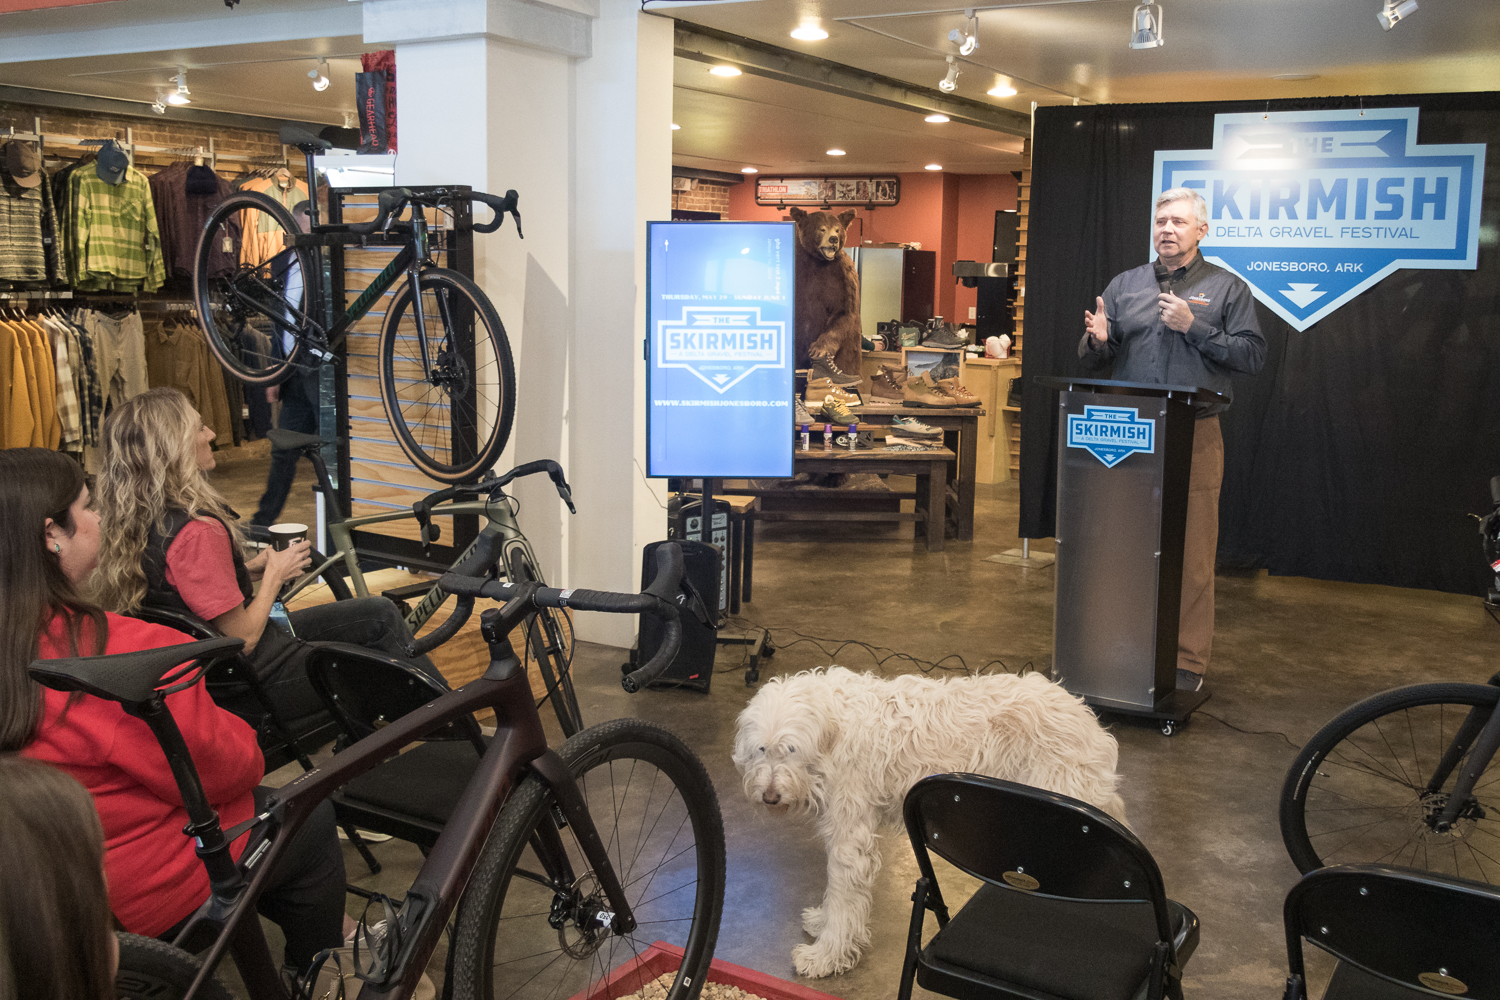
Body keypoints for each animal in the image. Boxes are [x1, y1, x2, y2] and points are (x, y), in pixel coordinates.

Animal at [732, 665, 1122, 977]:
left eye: (790, 750)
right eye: (762, 749)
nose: (769, 797)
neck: (834, 726)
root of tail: (1087, 717)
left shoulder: (850, 838)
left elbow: (844, 896)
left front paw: (826, 956)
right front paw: (822, 922)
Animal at [792, 205, 864, 377]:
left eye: (837, 229)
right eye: (822, 229)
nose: (833, 239)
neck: (817, 261)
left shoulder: (842, 277)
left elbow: (844, 310)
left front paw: (818, 349)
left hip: (848, 352)